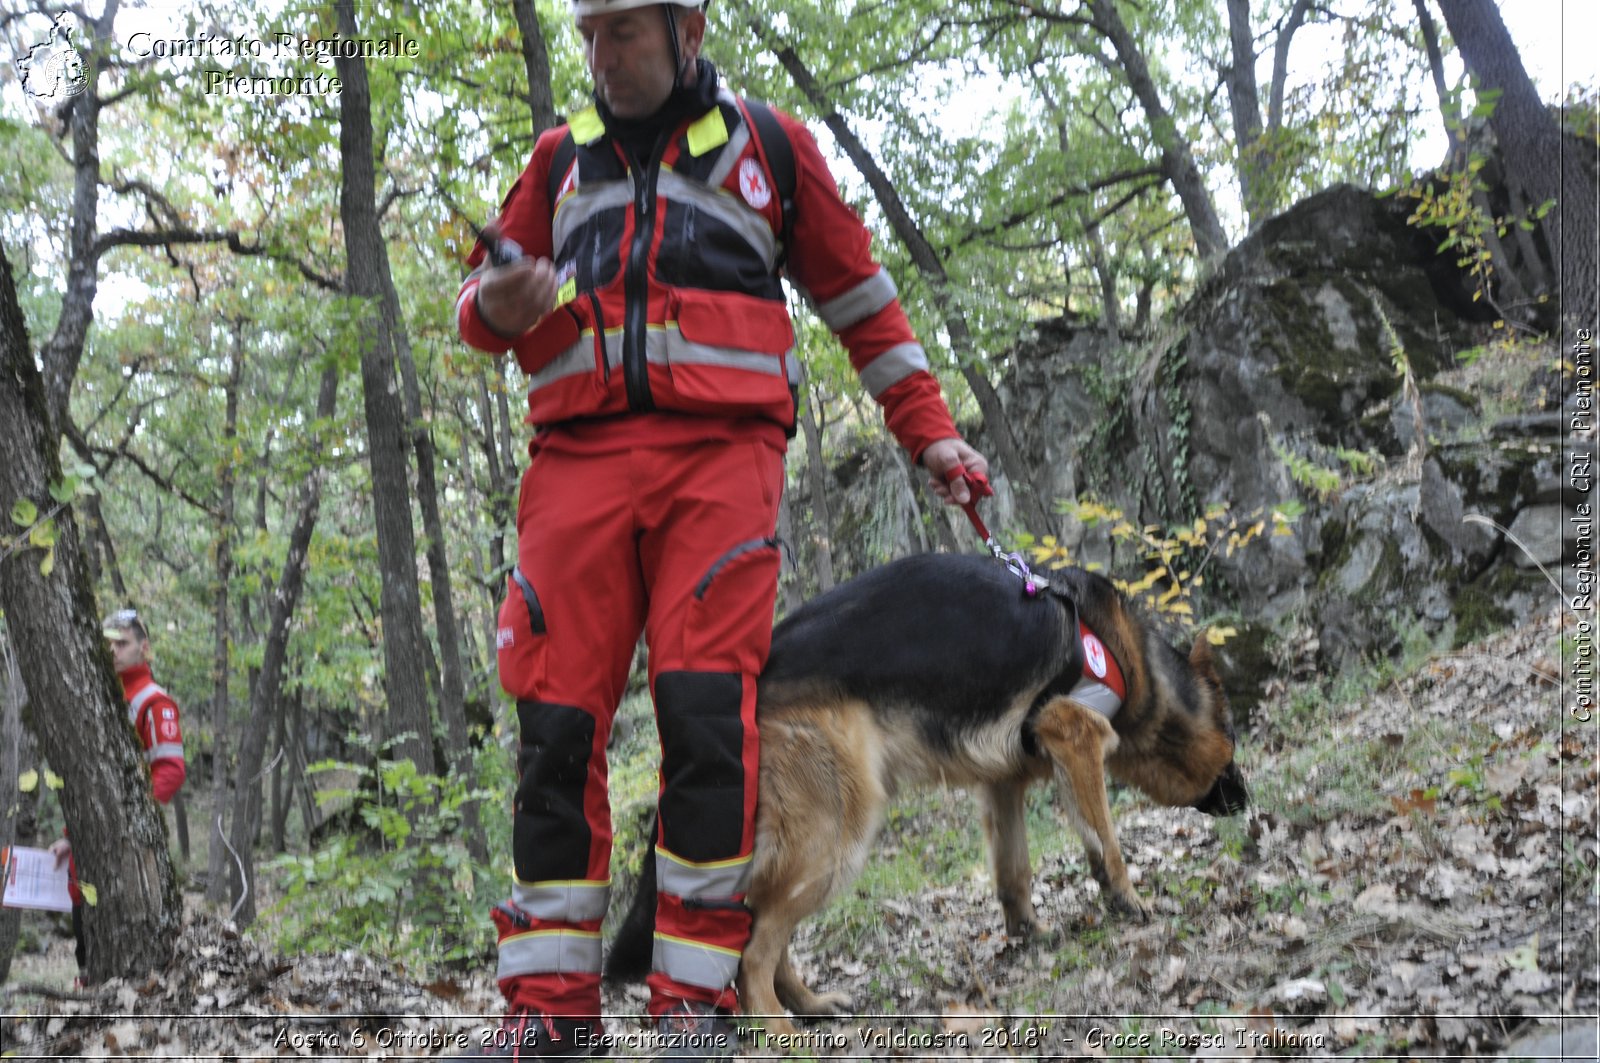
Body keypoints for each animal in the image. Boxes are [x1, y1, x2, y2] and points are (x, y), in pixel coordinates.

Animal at [604, 550, 1241, 1030]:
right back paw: (780, 1031)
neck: (1127, 656)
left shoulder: (1002, 782)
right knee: (754, 950)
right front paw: (1129, 900)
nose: (1246, 802)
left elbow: (1014, 871)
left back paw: (811, 1004)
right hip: (836, 834)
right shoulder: (1075, 737)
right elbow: (1106, 841)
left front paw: (1028, 933)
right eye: (1233, 738)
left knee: (758, 927)